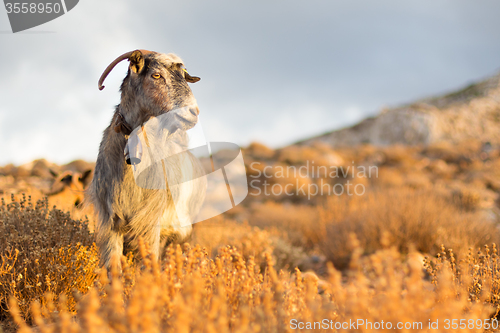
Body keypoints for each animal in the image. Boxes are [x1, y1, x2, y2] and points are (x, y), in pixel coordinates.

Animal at [87, 50, 206, 268]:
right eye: (156, 75)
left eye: (183, 77)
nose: (193, 112)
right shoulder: (111, 223)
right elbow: (113, 267)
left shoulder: (150, 223)